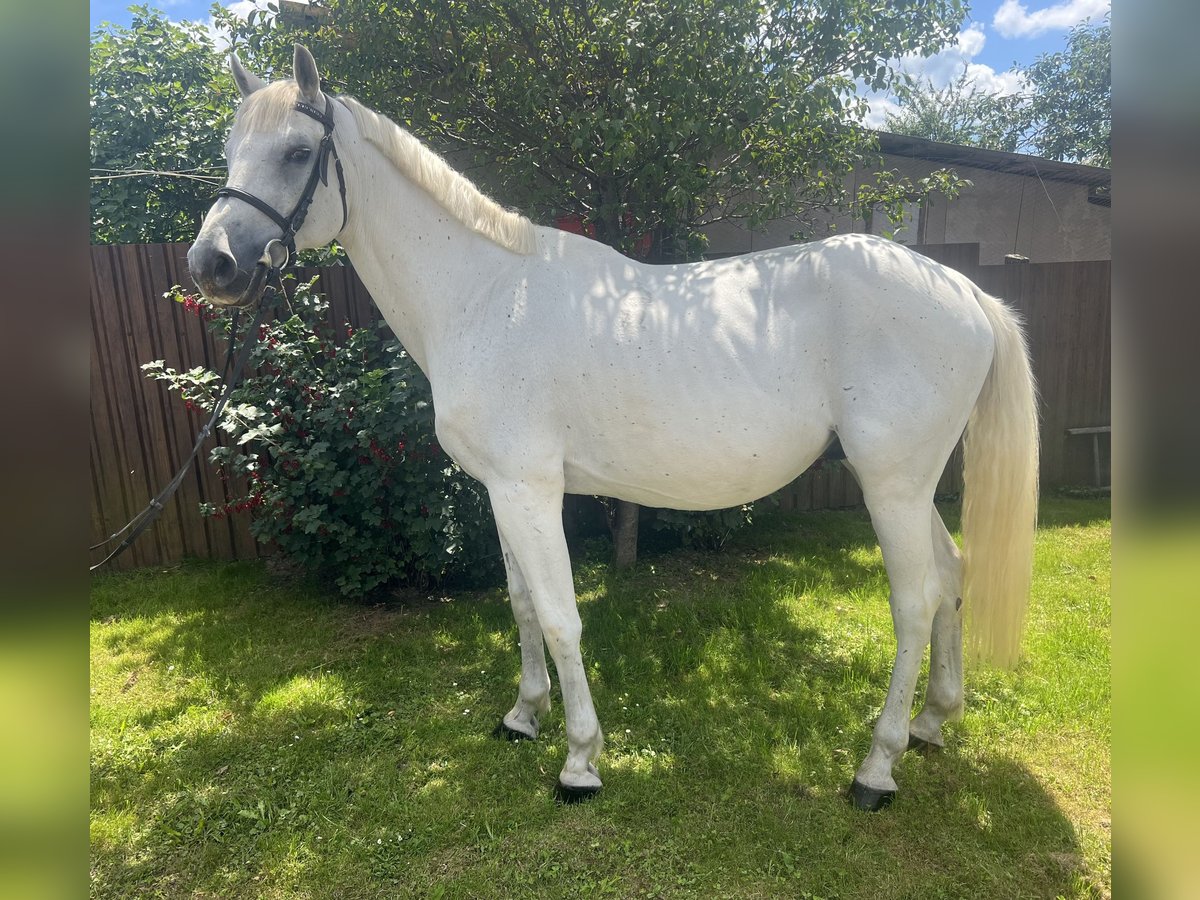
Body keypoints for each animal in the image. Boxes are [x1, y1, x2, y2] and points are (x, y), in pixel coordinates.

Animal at [192, 45, 1036, 816]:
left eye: (298, 152)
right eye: (229, 153)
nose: (212, 265)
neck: (484, 295)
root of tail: (963, 290)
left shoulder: (531, 490)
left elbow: (561, 617)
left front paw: (580, 762)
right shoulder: (502, 490)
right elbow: (522, 605)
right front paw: (523, 717)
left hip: (893, 485)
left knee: (916, 600)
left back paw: (876, 768)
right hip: (902, 484)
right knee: (951, 577)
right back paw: (932, 723)